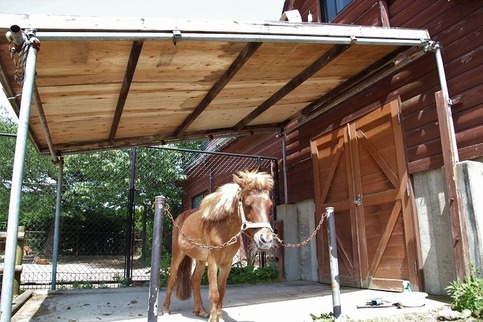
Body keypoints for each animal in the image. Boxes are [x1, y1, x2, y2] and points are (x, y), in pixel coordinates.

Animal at [164, 170, 274, 320]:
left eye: (270, 206)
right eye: (248, 205)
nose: (266, 239)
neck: (222, 230)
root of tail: (180, 217)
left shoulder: (226, 264)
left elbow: (221, 292)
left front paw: (218, 317)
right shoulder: (213, 261)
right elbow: (214, 292)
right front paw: (213, 318)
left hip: (200, 260)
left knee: (194, 280)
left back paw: (201, 310)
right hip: (178, 255)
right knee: (171, 279)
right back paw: (165, 309)